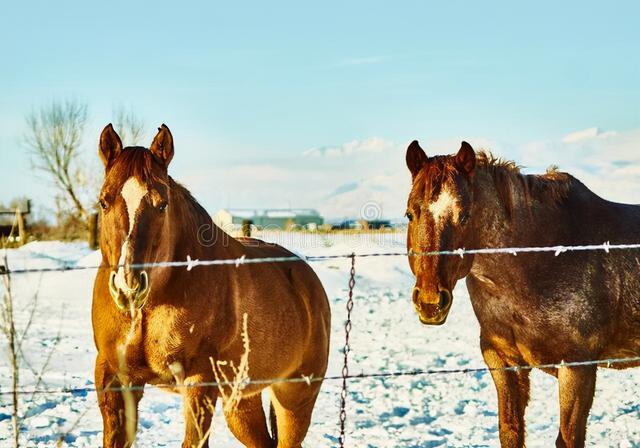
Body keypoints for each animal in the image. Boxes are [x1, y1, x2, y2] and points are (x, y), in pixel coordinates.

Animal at [92, 123, 332, 448]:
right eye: (104, 201)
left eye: (162, 205)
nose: (128, 286)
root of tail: (308, 280)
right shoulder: (115, 380)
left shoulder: (199, 383)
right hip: (241, 400)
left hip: (294, 397)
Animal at [404, 141, 640, 448]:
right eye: (410, 214)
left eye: (465, 215)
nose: (431, 302)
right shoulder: (504, 362)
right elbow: (511, 431)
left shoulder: (577, 368)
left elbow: (568, 437)